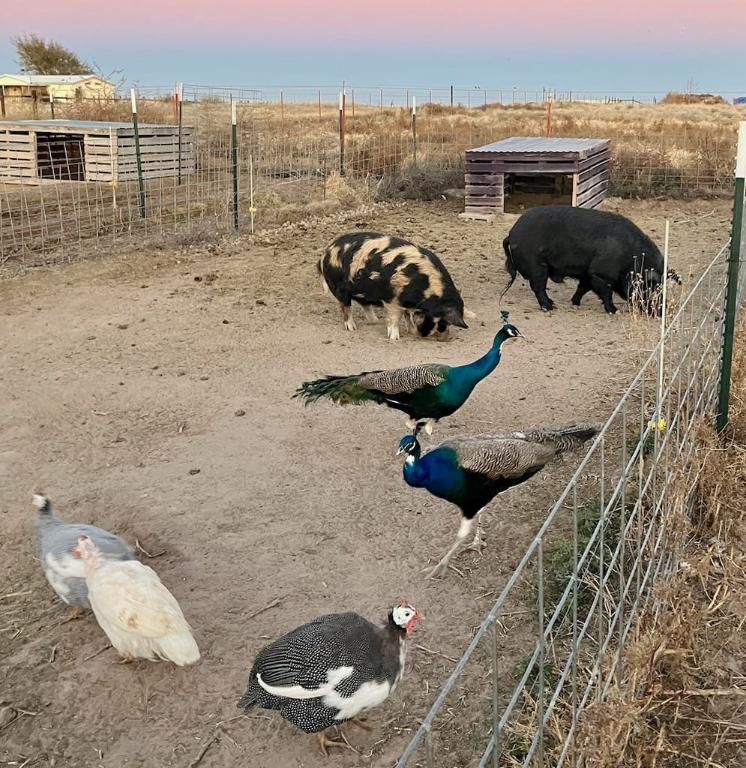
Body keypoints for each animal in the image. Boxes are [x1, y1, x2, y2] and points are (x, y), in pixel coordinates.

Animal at [318, 231, 469, 340]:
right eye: (443, 321)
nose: (422, 334)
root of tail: (326, 252)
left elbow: (407, 315)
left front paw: (411, 331)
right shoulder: (392, 299)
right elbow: (396, 317)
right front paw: (395, 338)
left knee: (365, 304)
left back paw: (375, 321)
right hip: (339, 289)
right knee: (345, 307)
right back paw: (352, 328)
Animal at [501, 206, 681, 315]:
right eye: (651, 287)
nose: (665, 309)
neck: (631, 260)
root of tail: (512, 233)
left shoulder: (587, 273)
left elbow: (582, 288)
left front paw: (575, 303)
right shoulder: (600, 274)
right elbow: (606, 293)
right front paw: (614, 311)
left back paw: (554, 303)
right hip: (537, 266)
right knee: (538, 287)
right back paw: (550, 307)